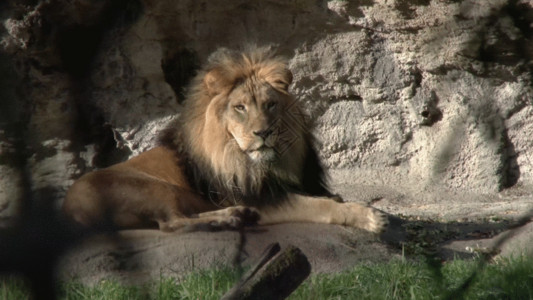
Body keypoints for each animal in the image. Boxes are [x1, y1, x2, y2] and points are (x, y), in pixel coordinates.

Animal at [62, 47, 386, 234]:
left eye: (270, 105)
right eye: (240, 107)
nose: (263, 133)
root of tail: (69, 210)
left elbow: (325, 198)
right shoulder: (264, 200)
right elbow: (321, 207)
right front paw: (371, 218)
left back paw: (235, 216)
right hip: (151, 189)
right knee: (171, 223)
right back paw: (229, 219)